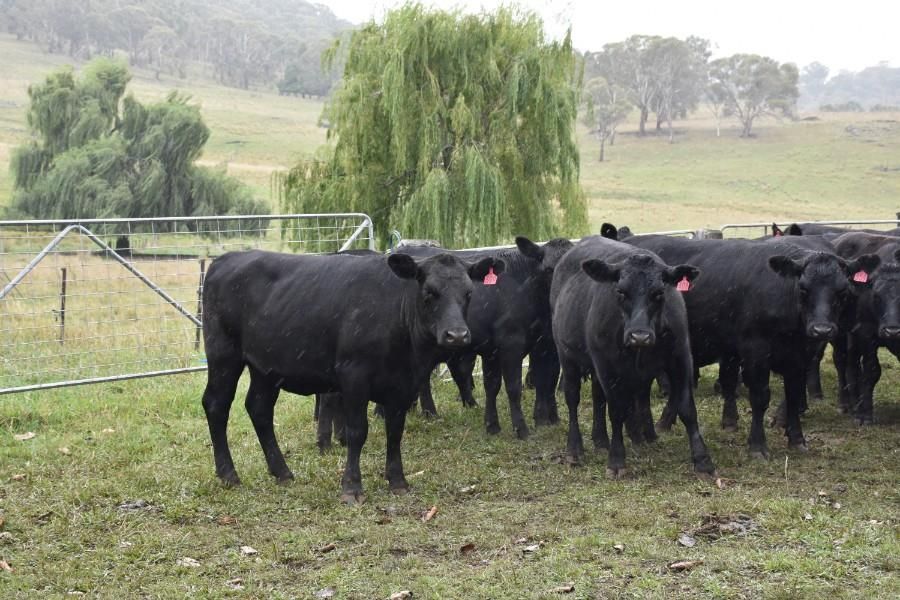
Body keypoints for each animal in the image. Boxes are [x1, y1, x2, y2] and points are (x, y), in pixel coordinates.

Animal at [200, 249, 503, 503]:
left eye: (469, 293)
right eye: (429, 292)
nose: (457, 335)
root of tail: (226, 258)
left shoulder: (404, 383)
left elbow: (395, 431)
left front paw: (397, 480)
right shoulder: (354, 375)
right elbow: (357, 431)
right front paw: (352, 487)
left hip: (265, 367)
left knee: (259, 408)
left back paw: (282, 472)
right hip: (223, 355)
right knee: (216, 405)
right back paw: (229, 474)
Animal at [398, 237, 574, 437]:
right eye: (549, 269)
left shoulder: (536, 344)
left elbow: (504, 384)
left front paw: (495, 425)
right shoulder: (511, 344)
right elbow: (514, 387)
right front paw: (522, 429)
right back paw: (429, 413)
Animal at [550, 235, 715, 478]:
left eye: (659, 293)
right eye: (620, 292)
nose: (639, 336)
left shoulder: (681, 357)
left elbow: (687, 408)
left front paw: (703, 461)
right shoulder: (607, 365)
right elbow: (617, 410)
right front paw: (617, 460)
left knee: (600, 397)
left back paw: (604, 440)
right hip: (568, 357)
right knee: (573, 398)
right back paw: (575, 450)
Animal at [624, 235, 879, 458]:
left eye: (842, 291)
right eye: (803, 288)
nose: (822, 330)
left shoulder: (799, 356)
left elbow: (794, 395)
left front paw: (797, 439)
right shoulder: (755, 352)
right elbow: (759, 396)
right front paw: (757, 446)